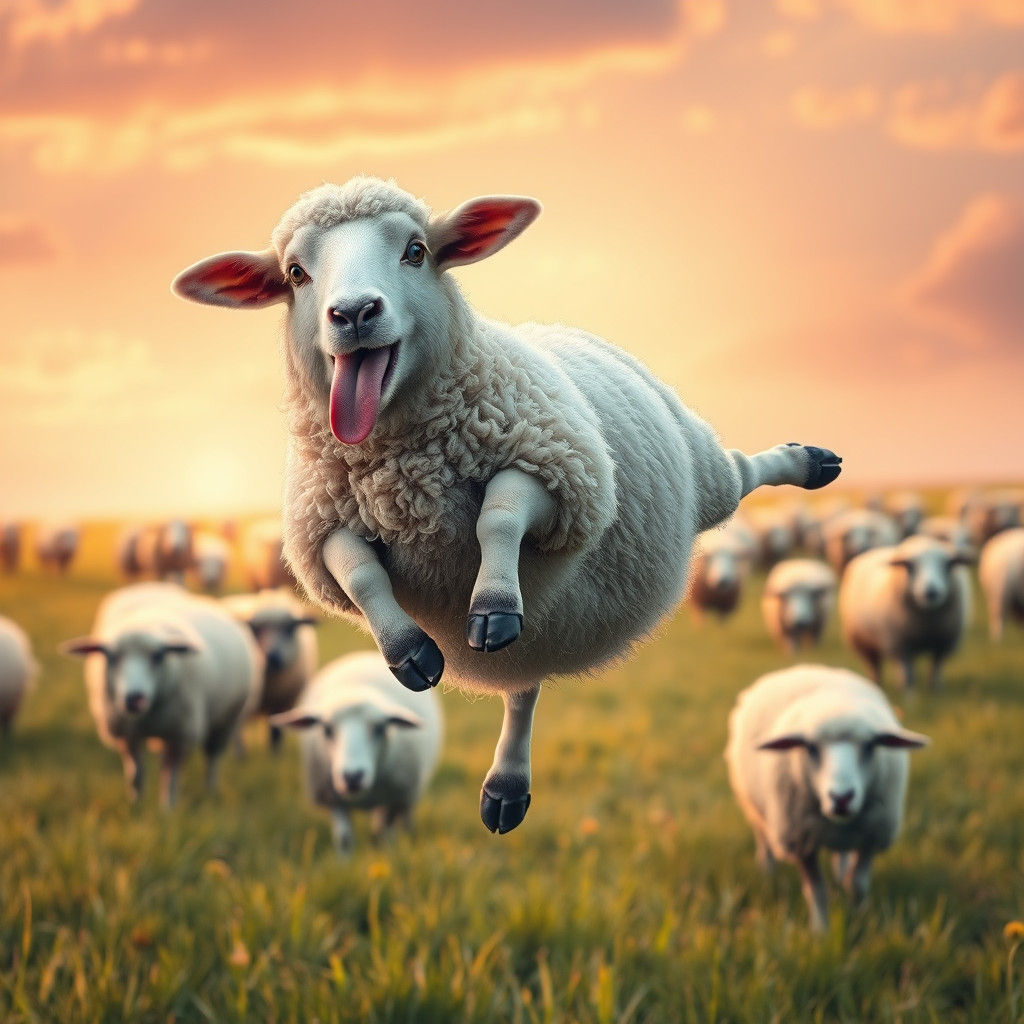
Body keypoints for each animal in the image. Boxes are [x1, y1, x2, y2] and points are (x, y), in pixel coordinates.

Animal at [62, 582, 261, 807]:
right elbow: (136, 775)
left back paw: (211, 791)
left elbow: (170, 777)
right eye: (111, 657)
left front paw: (168, 808)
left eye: (158, 656)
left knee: (211, 759)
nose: (135, 698)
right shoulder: (127, 735)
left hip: (226, 719)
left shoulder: (179, 734)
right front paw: (136, 805)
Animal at [222, 588, 319, 749]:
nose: (273, 658)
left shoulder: (281, 705)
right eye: (256, 629)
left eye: (290, 628)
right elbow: (239, 740)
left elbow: (276, 735)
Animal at [272, 651, 442, 854]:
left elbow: (383, 831)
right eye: (327, 729)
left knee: (403, 818)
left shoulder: (395, 796)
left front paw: (387, 853)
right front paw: (344, 860)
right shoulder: (333, 800)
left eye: (379, 728)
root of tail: (364, 654)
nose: (352, 776)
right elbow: (344, 838)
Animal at [725, 664, 928, 931]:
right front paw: (820, 931)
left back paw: (839, 875)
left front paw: (859, 920)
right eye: (811, 747)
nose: (841, 797)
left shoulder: (871, 835)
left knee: (840, 856)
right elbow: (817, 892)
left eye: (870, 746)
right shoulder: (801, 840)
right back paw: (768, 872)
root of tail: (807, 668)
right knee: (764, 841)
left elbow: (858, 886)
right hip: (753, 807)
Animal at [839, 536, 970, 690]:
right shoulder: (901, 645)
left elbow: (936, 669)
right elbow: (907, 673)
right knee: (874, 665)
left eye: (948, 565)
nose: (931, 593)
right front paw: (908, 692)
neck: (926, 624)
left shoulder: (943, 643)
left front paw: (935, 689)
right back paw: (876, 683)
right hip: (864, 642)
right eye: (910, 566)